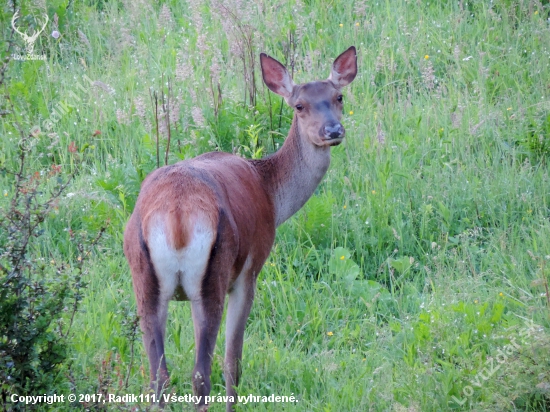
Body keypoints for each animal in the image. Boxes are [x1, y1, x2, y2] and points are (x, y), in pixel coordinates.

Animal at [123, 46, 360, 410]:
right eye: (299, 105)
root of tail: (176, 215)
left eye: (338, 96)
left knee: (158, 376)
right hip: (214, 274)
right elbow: (233, 361)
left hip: (144, 277)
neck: (271, 194)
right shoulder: (250, 270)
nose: (333, 130)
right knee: (201, 373)